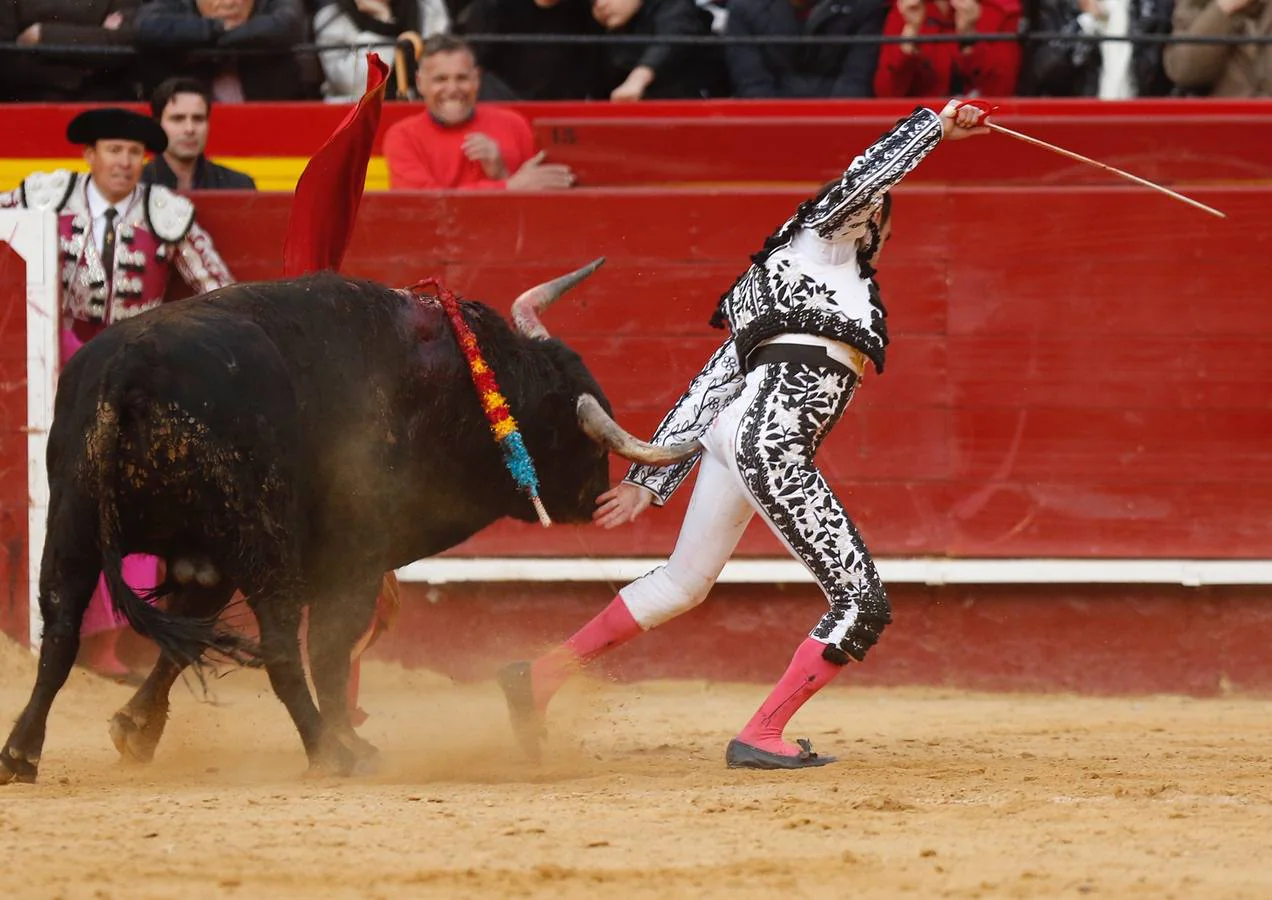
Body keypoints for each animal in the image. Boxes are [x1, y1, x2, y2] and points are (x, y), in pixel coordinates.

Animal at [0, 260, 697, 777]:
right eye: (573, 439)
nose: (597, 495)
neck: (464, 386)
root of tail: (128, 370)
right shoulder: (355, 556)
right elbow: (331, 652)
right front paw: (346, 738)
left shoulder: (210, 560)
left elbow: (184, 638)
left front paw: (133, 730)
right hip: (261, 541)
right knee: (283, 648)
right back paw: (330, 751)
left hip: (71, 522)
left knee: (59, 630)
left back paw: (21, 753)